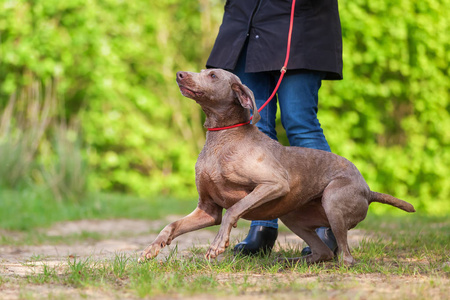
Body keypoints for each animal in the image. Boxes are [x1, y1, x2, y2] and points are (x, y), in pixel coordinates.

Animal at [140, 69, 414, 264]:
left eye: (213, 75)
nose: (179, 74)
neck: (223, 137)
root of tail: (368, 190)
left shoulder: (274, 183)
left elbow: (233, 210)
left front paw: (218, 244)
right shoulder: (207, 209)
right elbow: (171, 225)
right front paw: (152, 248)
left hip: (333, 201)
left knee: (346, 257)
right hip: (293, 216)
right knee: (324, 253)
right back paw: (292, 261)